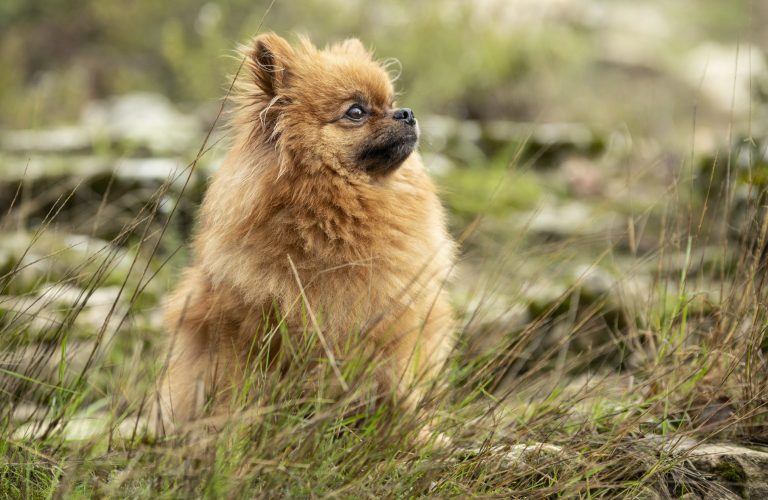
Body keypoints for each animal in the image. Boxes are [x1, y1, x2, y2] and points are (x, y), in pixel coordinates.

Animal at [156, 32, 456, 434]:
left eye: (391, 103)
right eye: (356, 112)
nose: (406, 112)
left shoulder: (394, 328)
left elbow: (400, 394)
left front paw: (416, 437)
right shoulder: (245, 334)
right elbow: (238, 398)